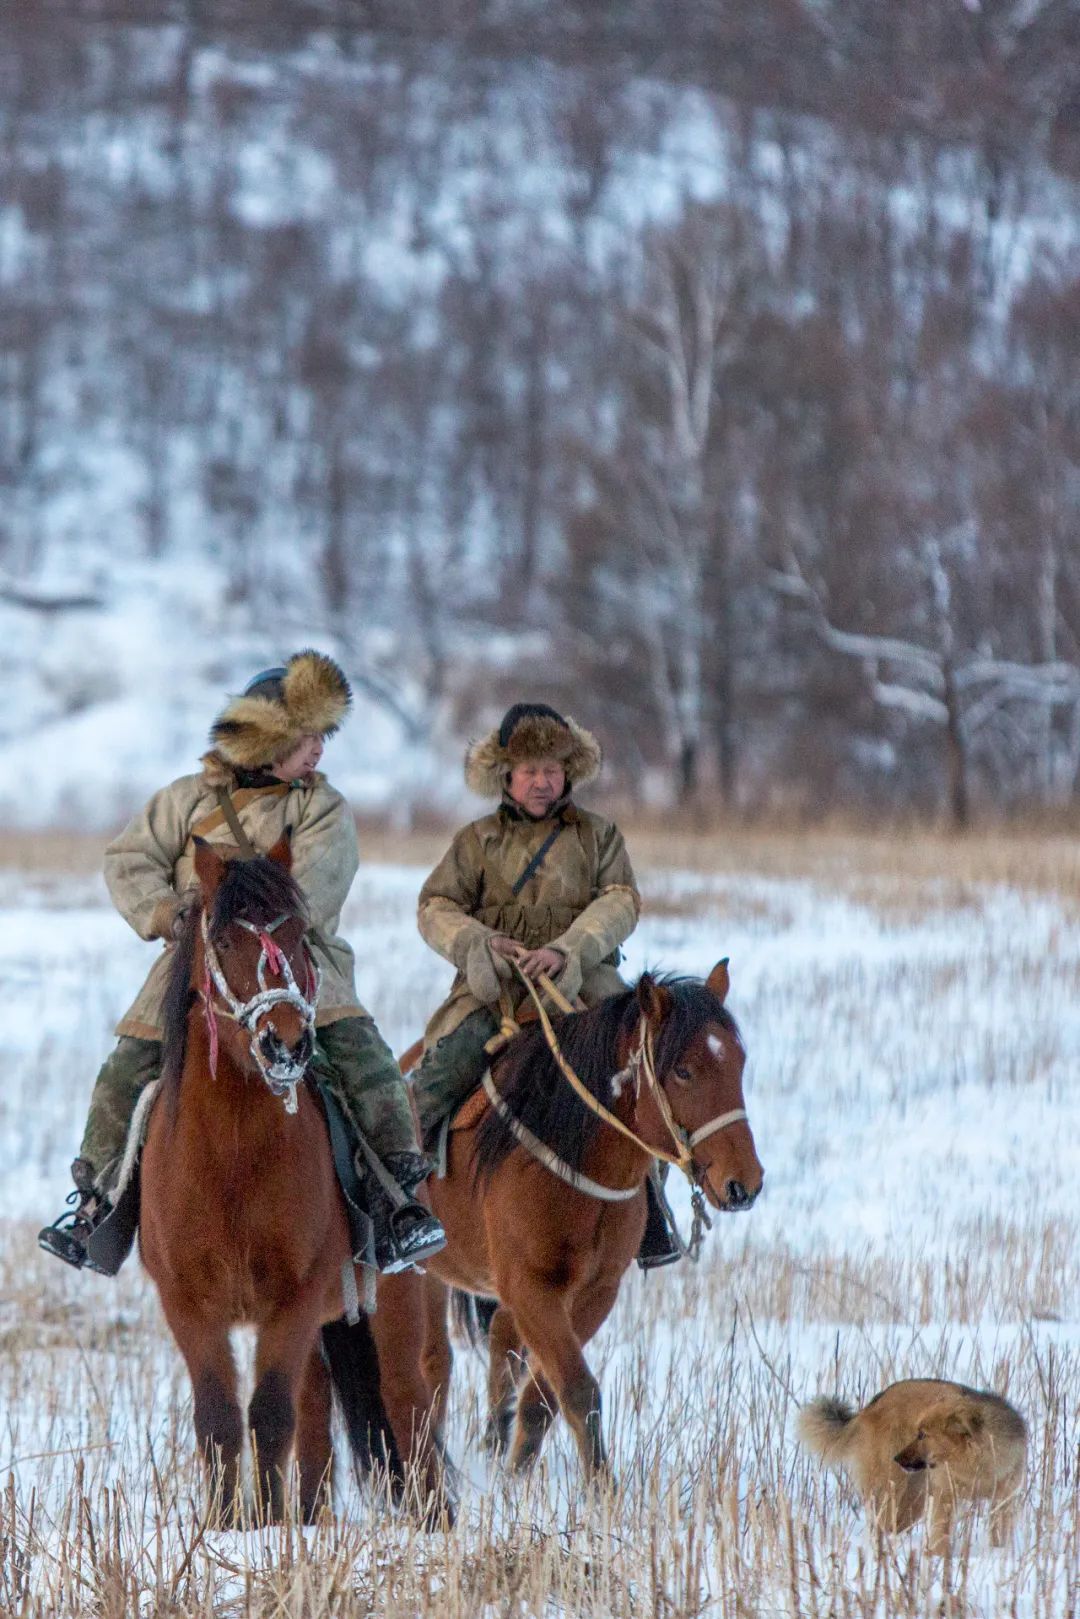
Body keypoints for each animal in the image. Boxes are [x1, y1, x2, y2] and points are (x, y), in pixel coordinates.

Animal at [140, 841, 453, 1521]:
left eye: (298, 936)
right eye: (223, 939)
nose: (284, 1043)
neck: (231, 1159)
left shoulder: (294, 1301)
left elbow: (269, 1415)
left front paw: (258, 1526)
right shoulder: (189, 1307)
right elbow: (220, 1420)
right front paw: (232, 1527)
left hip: (392, 1306)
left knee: (408, 1406)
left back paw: (436, 1522)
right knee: (316, 1413)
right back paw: (308, 1516)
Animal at [401, 958, 764, 1483]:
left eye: (738, 1062)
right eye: (683, 1070)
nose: (745, 1184)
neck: (574, 1157)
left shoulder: (595, 1292)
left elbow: (546, 1395)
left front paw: (517, 1476)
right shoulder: (531, 1287)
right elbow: (577, 1387)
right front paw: (602, 1488)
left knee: (501, 1341)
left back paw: (492, 1443)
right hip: (423, 1271)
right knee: (434, 1361)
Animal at [799, 1379, 1029, 1554]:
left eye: (923, 1435)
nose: (897, 1458)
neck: (975, 1468)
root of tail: (872, 1404)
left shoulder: (1003, 1501)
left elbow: (999, 1534)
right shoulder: (945, 1497)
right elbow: (940, 1535)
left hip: (913, 1502)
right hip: (892, 1492)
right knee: (880, 1525)